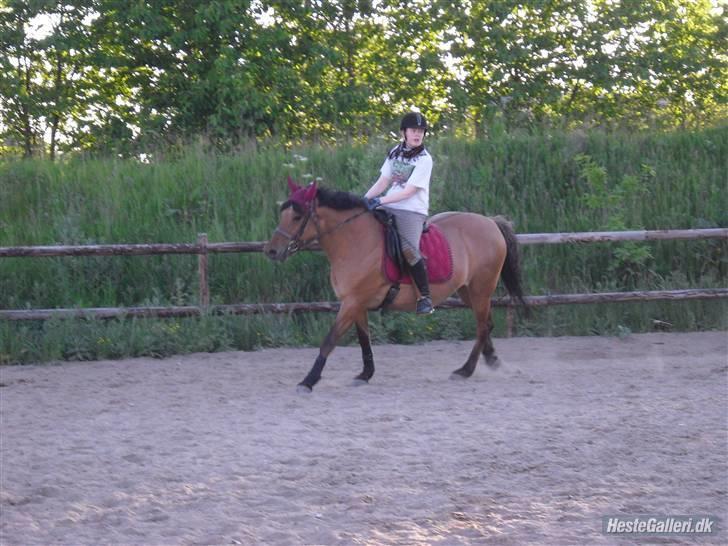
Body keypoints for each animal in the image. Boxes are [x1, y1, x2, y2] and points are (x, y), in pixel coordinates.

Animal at [263, 180, 527, 392]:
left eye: (297, 217)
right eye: (283, 214)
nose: (272, 251)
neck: (355, 242)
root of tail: (490, 222)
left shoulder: (351, 303)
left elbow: (329, 340)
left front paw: (308, 381)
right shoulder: (356, 303)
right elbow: (364, 340)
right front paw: (365, 375)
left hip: (481, 288)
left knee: (483, 326)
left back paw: (465, 370)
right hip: (467, 290)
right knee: (486, 324)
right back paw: (492, 362)